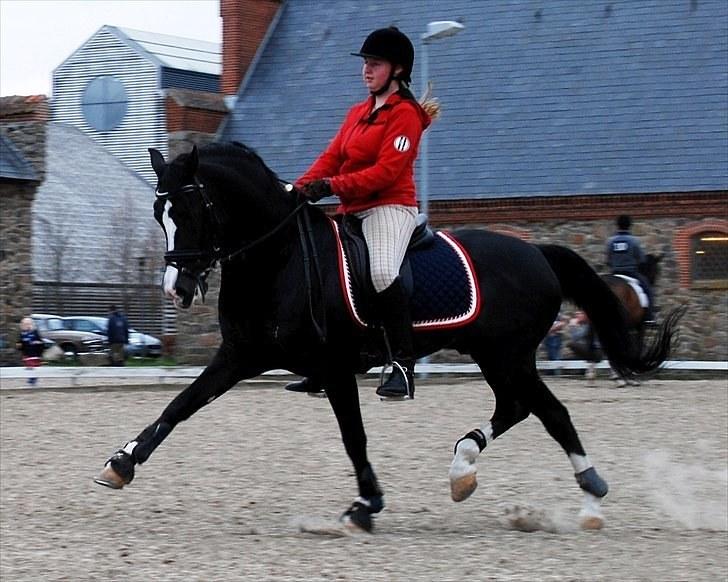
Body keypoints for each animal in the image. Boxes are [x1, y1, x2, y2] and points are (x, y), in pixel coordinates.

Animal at [95, 143, 684, 532]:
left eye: (193, 209)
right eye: (159, 212)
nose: (177, 288)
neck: (278, 258)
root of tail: (536, 251)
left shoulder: (333, 367)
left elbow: (353, 437)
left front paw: (366, 505)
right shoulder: (241, 355)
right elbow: (180, 405)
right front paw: (121, 463)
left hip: (509, 355)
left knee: (551, 413)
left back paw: (590, 501)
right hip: (495, 356)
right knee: (518, 407)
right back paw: (463, 470)